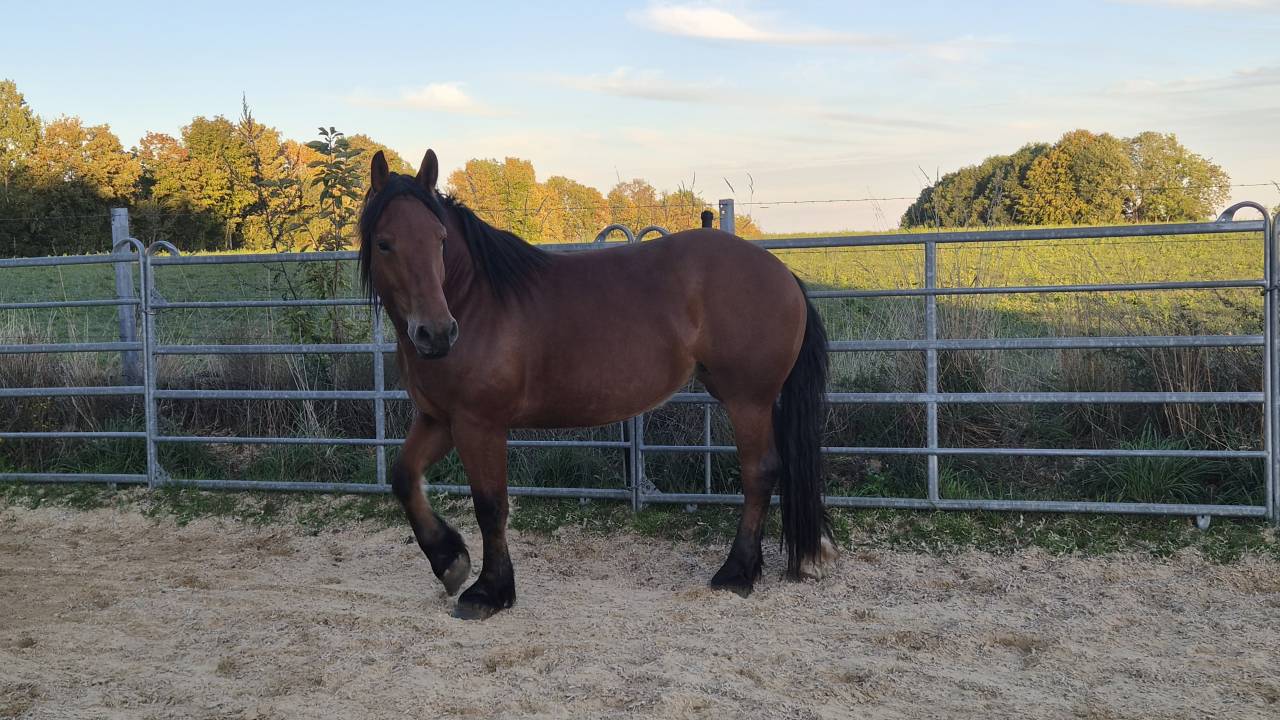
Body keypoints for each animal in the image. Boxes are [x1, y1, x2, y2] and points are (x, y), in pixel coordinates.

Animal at [361, 149, 836, 620]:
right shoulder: (440, 419)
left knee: (760, 472)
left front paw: (489, 591)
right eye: (385, 243)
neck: (475, 299)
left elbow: (491, 504)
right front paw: (450, 561)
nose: (437, 334)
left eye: (440, 239)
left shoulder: (480, 424)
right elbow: (404, 477)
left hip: (747, 400)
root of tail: (782, 273)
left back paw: (736, 572)